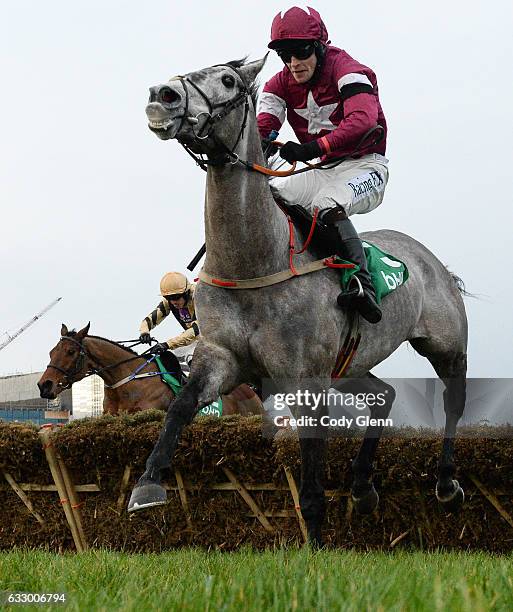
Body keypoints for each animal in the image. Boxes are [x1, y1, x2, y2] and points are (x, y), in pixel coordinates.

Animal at [128, 56, 468, 544]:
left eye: (227, 79)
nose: (163, 96)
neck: (253, 262)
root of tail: (431, 260)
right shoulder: (222, 357)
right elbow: (180, 405)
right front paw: (148, 484)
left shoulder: (305, 378)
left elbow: (310, 475)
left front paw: (317, 543)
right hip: (349, 365)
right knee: (383, 396)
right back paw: (362, 487)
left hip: (445, 345)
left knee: (453, 403)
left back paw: (445, 483)